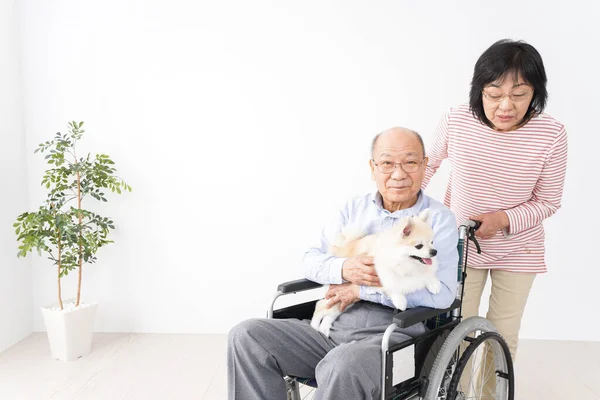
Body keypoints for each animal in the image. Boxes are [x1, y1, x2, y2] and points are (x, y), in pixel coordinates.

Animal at [312, 209, 438, 338]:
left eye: (432, 242)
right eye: (419, 246)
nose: (434, 251)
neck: (408, 263)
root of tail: (342, 247)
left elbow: (427, 275)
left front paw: (434, 285)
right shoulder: (380, 273)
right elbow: (392, 285)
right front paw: (400, 301)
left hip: (344, 300)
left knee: (329, 313)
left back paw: (324, 330)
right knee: (319, 306)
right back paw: (315, 327)